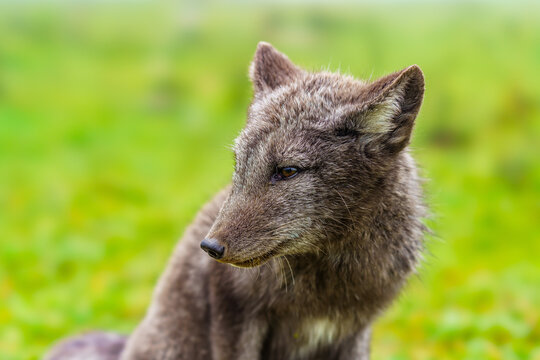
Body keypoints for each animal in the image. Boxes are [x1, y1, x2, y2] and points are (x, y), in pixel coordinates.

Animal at [45, 43, 426, 360]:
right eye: (239, 164)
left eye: (287, 170)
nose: (210, 248)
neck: (327, 286)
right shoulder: (235, 312)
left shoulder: (354, 331)